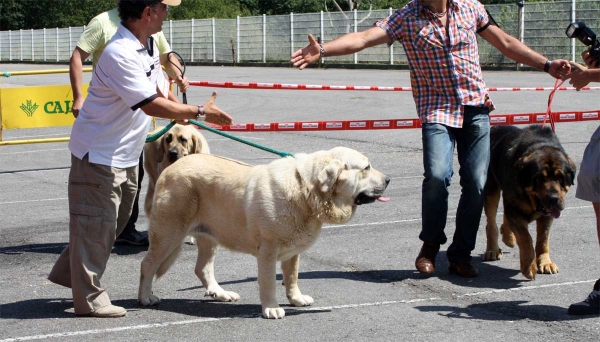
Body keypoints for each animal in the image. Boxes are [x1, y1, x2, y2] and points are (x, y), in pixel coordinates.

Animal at [138, 146, 392, 318]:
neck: (305, 190)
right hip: (169, 233)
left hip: (209, 237)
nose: (389, 179)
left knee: (202, 268)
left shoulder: (292, 252)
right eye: (367, 167)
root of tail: (168, 170)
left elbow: (292, 276)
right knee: (148, 264)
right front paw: (272, 308)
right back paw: (145, 297)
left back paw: (221, 293)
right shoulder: (268, 251)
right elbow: (269, 281)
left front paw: (296, 298)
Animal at [482, 124, 576, 280]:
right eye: (539, 178)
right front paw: (529, 266)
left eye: (560, 178)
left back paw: (508, 236)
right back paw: (493, 250)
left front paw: (545, 263)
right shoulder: (515, 210)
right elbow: (526, 238)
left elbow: (543, 240)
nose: (553, 198)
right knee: (491, 223)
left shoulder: (546, 216)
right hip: (491, 190)